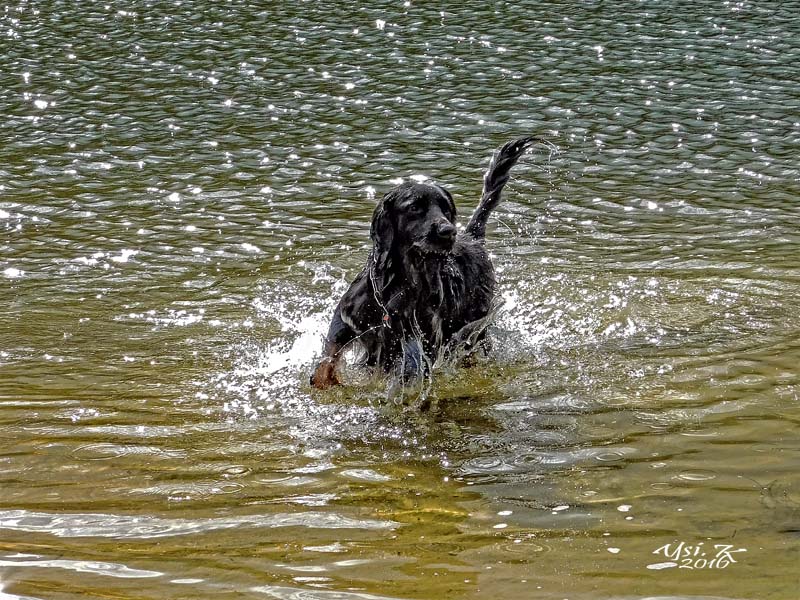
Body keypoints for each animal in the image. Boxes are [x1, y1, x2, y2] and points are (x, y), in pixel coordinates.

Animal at [310, 136, 536, 390]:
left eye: (446, 209)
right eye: (414, 207)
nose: (448, 231)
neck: (402, 282)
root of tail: (472, 236)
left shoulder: (420, 342)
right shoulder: (347, 320)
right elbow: (325, 362)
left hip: (474, 326)